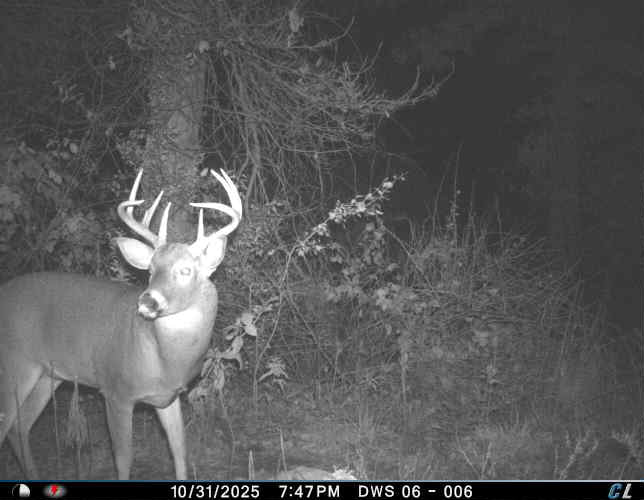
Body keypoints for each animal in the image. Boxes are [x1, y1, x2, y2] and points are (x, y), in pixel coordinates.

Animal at [0, 168, 242, 479]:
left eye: (186, 270)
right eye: (150, 270)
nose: (148, 301)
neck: (162, 361)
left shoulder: (169, 396)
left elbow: (179, 450)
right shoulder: (115, 391)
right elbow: (123, 458)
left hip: (47, 375)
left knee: (19, 426)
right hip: (13, 365)